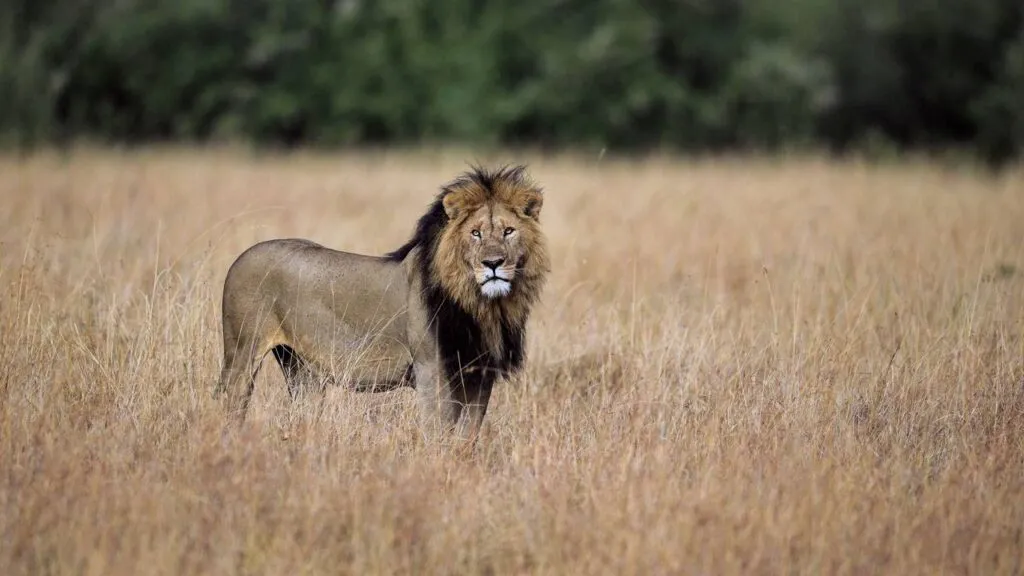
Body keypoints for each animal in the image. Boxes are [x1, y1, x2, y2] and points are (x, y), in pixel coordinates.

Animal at [214, 165, 550, 444]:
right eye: (475, 233)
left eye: (508, 231)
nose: (493, 264)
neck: (482, 306)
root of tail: (242, 256)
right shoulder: (432, 370)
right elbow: (439, 432)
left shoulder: (480, 374)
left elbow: (467, 437)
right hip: (241, 354)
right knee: (230, 403)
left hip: (301, 369)